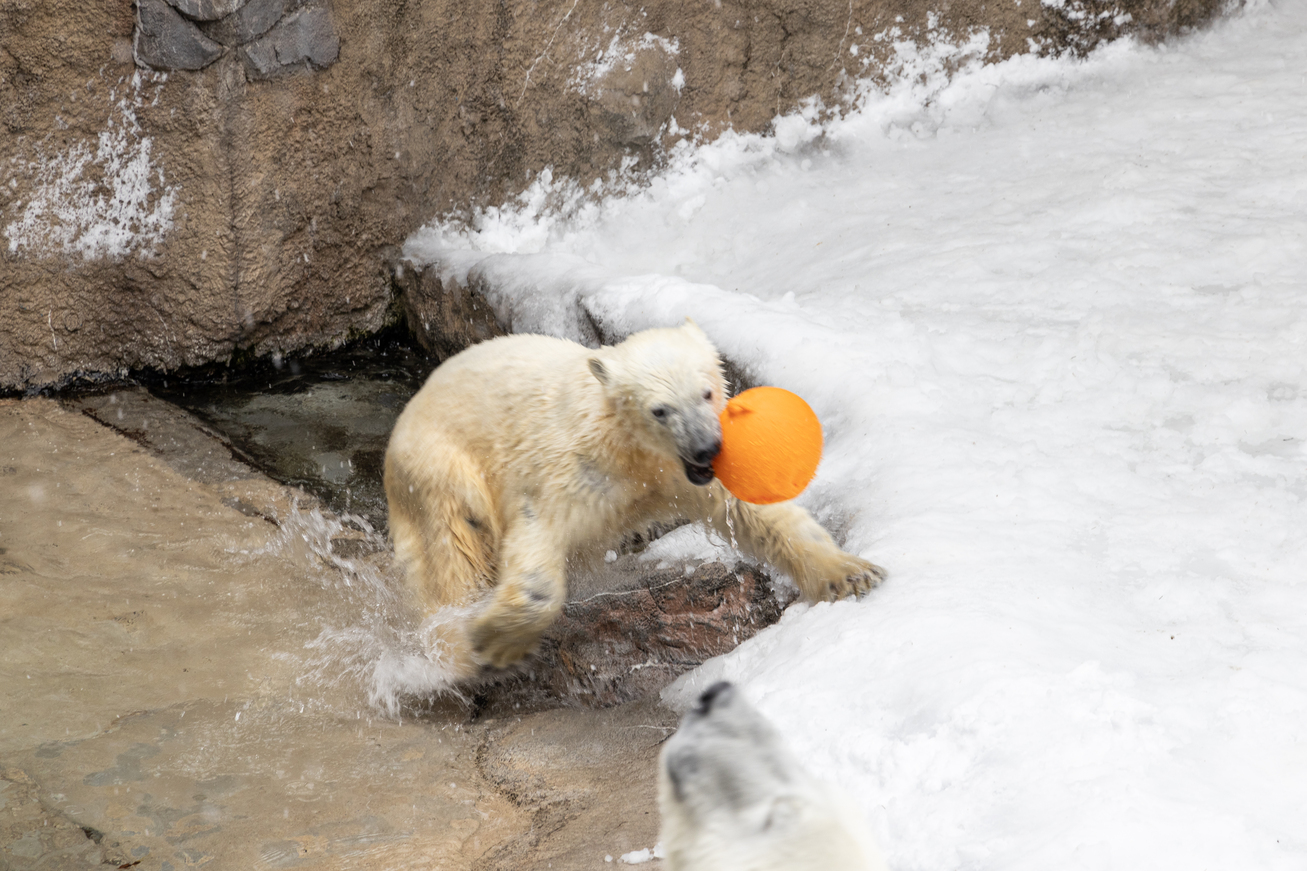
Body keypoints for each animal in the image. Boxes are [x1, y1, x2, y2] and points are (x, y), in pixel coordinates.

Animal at [383, 321, 884, 681]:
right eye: (660, 410)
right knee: (455, 552)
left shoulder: (691, 475)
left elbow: (756, 513)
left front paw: (852, 574)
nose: (706, 448)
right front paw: (493, 642)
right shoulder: (570, 468)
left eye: (706, 391)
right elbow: (539, 534)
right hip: (440, 468)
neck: (635, 453)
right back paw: (451, 650)